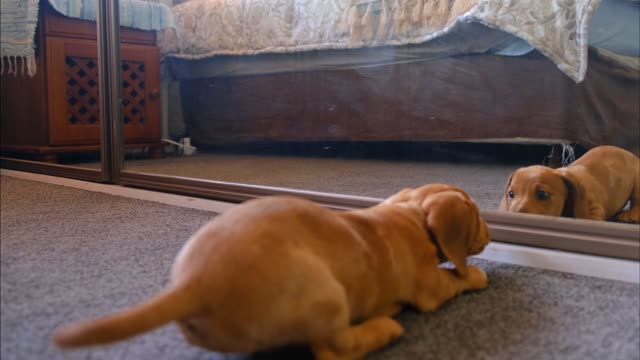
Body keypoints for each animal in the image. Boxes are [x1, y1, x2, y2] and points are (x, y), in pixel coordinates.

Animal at [53, 184, 490, 358]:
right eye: (476, 214)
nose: (489, 232)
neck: (411, 215)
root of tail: (195, 283)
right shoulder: (431, 287)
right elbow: (455, 278)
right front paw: (476, 276)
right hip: (326, 296)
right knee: (333, 349)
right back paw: (384, 328)